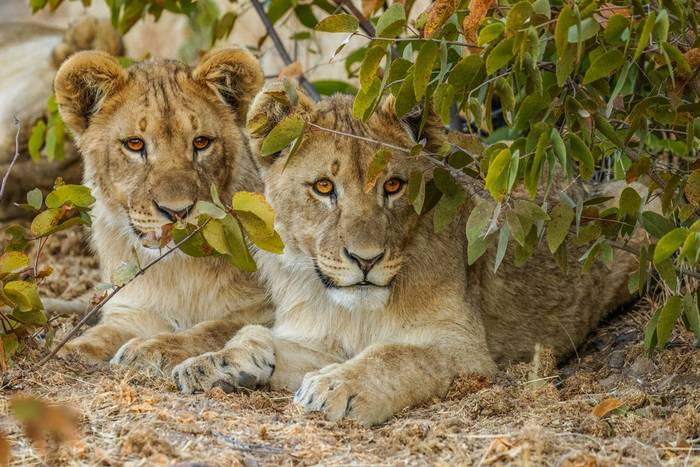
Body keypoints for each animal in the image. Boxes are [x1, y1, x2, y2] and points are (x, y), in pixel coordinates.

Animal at [53, 48, 272, 373]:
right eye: (134, 144)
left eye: (201, 142)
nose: (177, 211)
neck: (176, 272)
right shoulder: (133, 308)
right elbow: (105, 332)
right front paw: (72, 348)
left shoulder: (271, 309)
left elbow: (214, 328)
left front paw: (152, 348)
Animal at [171, 81, 641, 426]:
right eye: (324, 187)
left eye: (393, 185)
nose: (365, 260)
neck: (353, 313)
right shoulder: (320, 337)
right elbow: (259, 334)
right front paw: (214, 363)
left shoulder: (466, 350)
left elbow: (393, 355)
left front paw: (334, 387)